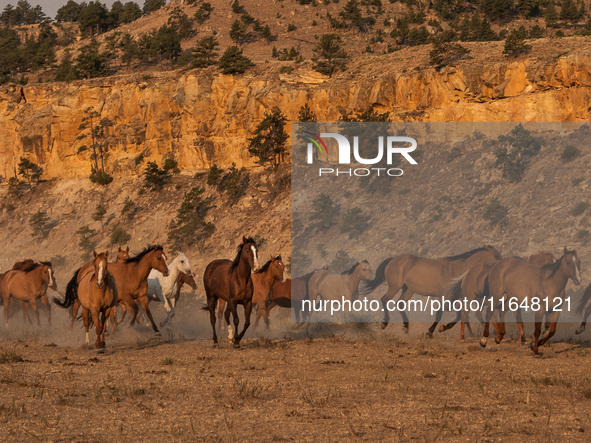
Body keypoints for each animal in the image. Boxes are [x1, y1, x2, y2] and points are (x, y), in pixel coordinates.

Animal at [364, 246, 502, 336]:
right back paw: (384, 323)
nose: (501, 266)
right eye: (496, 256)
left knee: (400, 303)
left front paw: (444, 328)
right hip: (394, 286)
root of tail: (393, 259)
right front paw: (430, 332)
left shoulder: (456, 298)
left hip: (408, 289)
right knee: (384, 299)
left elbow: (460, 314)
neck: (455, 269)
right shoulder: (444, 296)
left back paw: (406, 327)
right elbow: (440, 313)